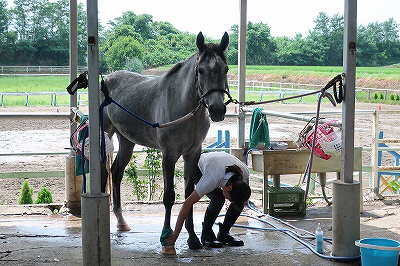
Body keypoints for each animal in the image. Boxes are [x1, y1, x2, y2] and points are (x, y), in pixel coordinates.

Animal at [100, 31, 230, 249]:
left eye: (226, 69)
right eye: (201, 70)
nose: (217, 109)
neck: (184, 107)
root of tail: (107, 79)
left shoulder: (192, 154)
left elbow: (189, 194)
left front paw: (193, 238)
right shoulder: (169, 155)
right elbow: (169, 196)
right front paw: (166, 236)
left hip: (126, 141)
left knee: (116, 173)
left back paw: (121, 222)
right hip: (105, 135)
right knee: (103, 171)